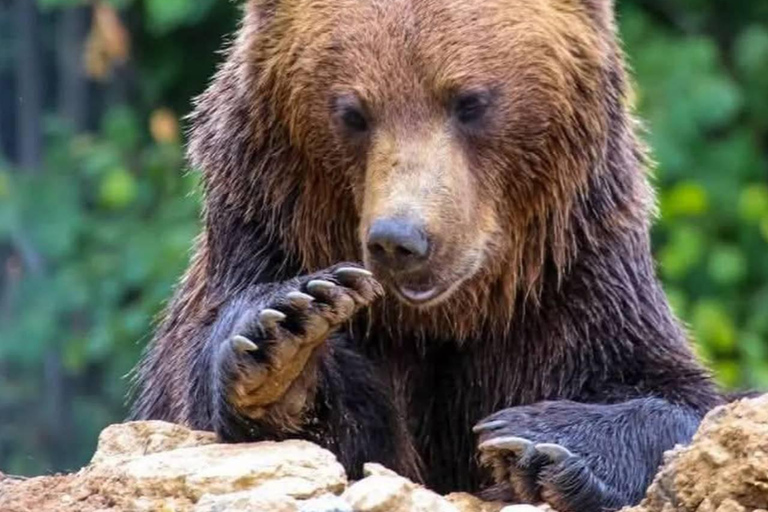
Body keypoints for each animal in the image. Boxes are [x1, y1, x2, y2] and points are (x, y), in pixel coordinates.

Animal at [129, 0, 723, 510]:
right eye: (352, 112)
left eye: (471, 102)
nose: (401, 238)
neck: (441, 319)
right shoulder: (261, 243)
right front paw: (287, 336)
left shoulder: (574, 290)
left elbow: (682, 399)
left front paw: (535, 441)